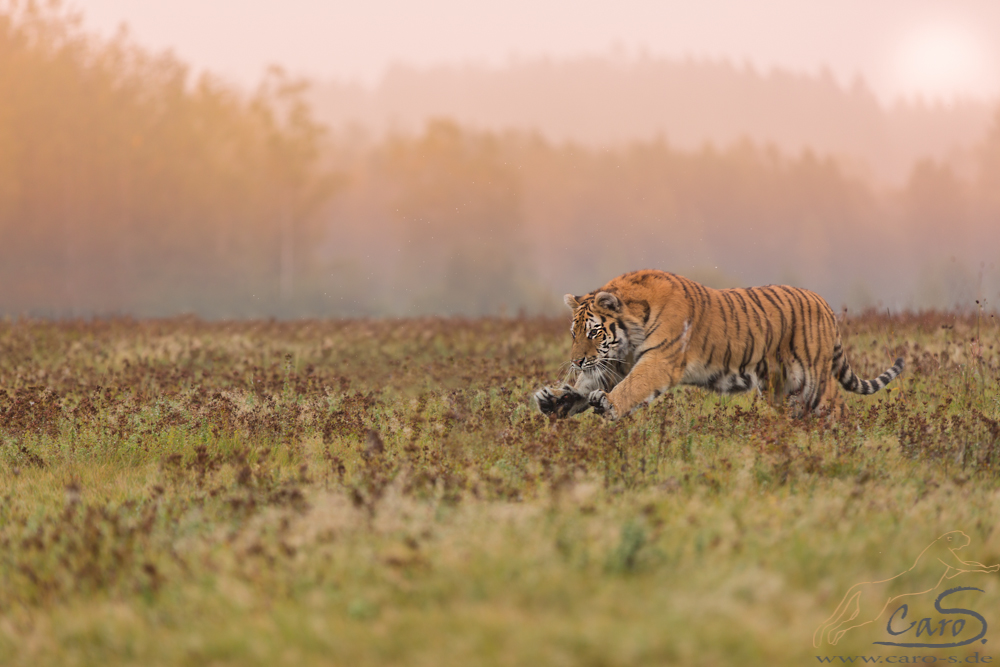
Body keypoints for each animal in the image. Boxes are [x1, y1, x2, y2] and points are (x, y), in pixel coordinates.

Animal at [540, 268, 908, 420]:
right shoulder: (615, 362)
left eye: (593, 333)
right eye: (574, 334)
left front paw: (608, 405)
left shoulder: (658, 361)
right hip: (780, 388)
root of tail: (826, 305)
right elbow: (585, 385)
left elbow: (631, 387)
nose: (575, 361)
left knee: (839, 410)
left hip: (813, 382)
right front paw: (554, 399)